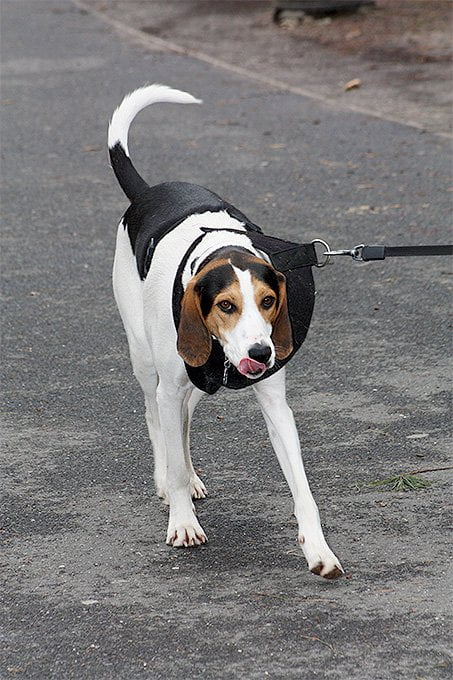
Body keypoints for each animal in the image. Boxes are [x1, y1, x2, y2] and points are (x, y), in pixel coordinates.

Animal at [108, 82, 342, 576]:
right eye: (226, 305)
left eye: (269, 301)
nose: (261, 354)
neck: (219, 247)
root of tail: (149, 191)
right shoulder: (170, 383)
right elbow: (171, 450)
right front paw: (182, 522)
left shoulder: (276, 404)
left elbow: (303, 488)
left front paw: (317, 548)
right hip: (146, 361)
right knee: (156, 417)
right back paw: (168, 482)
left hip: (194, 382)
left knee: (183, 422)